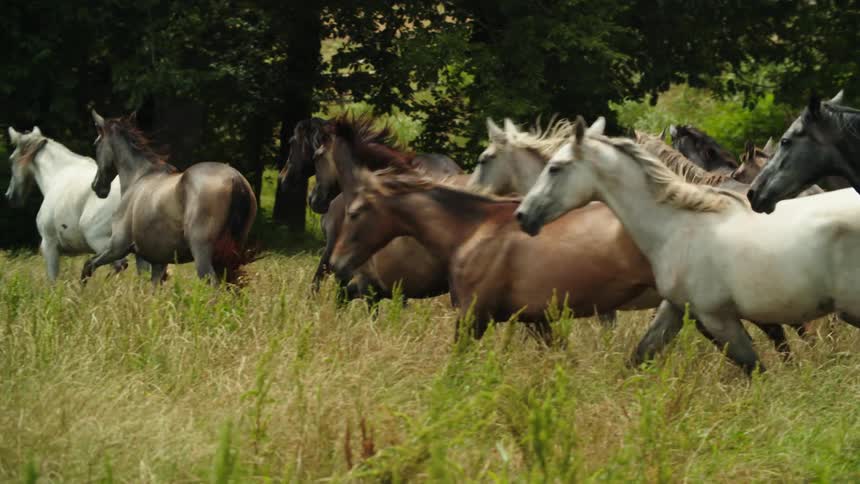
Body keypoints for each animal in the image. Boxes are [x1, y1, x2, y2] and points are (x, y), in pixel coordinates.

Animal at [5, 127, 150, 280]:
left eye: (11, 160)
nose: (10, 196)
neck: (57, 174)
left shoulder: (49, 246)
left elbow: (52, 280)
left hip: (100, 240)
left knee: (117, 265)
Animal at [81, 110, 258, 285]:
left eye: (96, 144)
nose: (97, 186)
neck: (138, 177)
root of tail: (235, 179)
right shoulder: (158, 262)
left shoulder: (118, 247)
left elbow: (89, 265)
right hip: (228, 257)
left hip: (202, 254)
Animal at [516, 117, 860, 375]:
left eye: (555, 168)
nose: (523, 215)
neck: (676, 226)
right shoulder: (677, 309)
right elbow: (640, 355)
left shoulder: (716, 317)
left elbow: (756, 365)